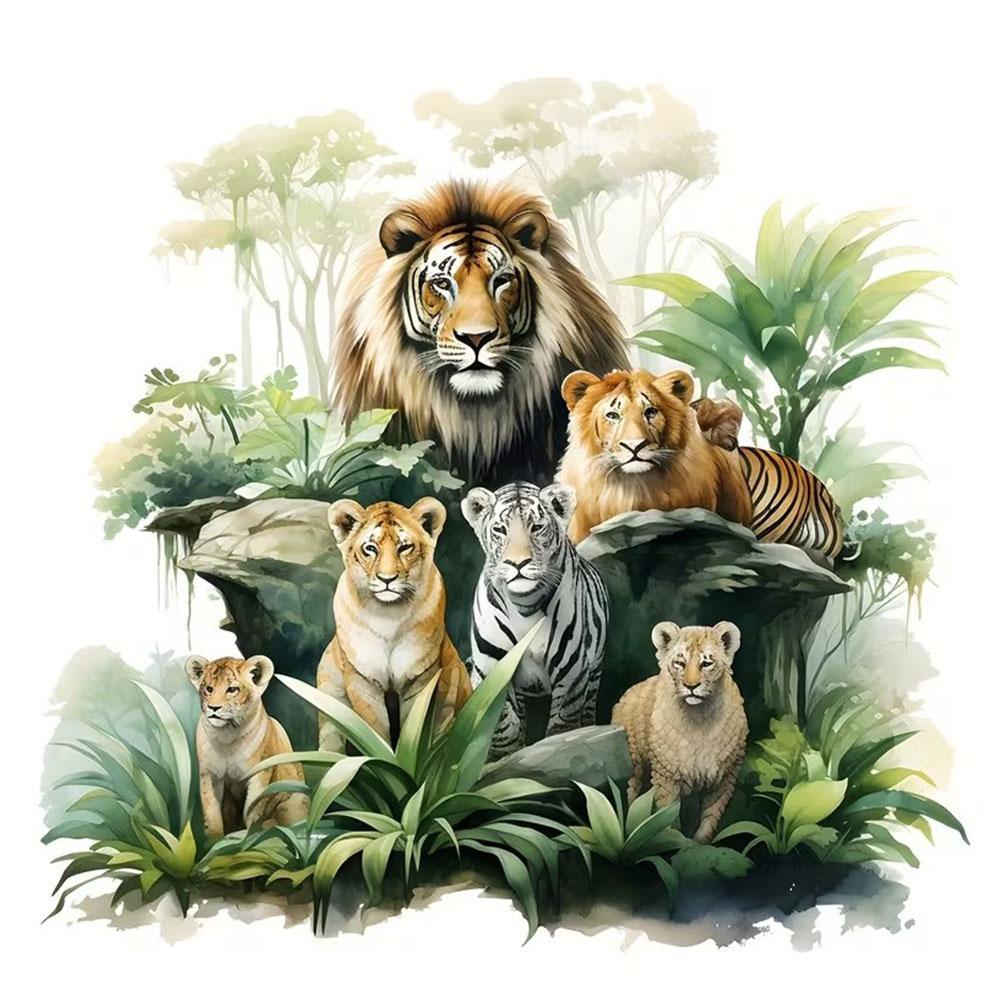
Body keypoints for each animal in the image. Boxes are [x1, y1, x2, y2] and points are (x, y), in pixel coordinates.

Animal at [184, 654, 308, 840]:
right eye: (209, 688)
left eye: (232, 689)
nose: (213, 708)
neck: (227, 736)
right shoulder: (210, 775)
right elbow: (211, 811)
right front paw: (214, 840)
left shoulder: (260, 775)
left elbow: (253, 808)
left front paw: (250, 838)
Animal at [316, 496, 471, 751]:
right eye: (370, 548)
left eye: (404, 547)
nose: (387, 579)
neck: (388, 615)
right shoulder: (363, 680)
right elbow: (376, 731)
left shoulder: (420, 677)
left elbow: (414, 727)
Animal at [611, 622, 748, 843]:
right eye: (680, 663)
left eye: (706, 663)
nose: (691, 686)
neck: (700, 720)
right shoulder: (667, 777)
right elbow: (668, 817)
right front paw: (674, 841)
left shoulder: (724, 778)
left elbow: (709, 819)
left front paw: (698, 844)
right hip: (634, 768)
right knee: (631, 797)